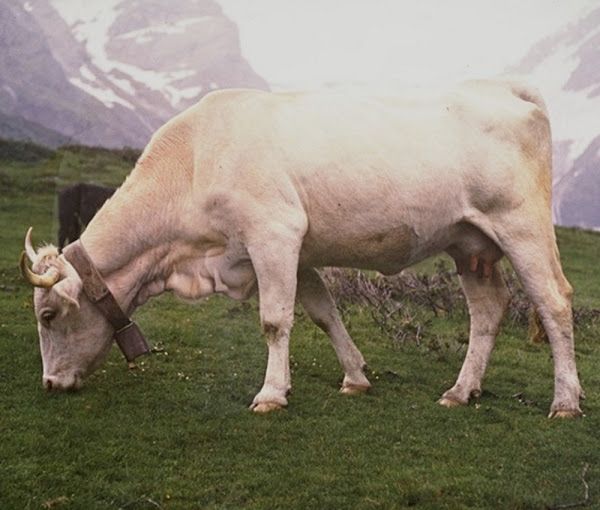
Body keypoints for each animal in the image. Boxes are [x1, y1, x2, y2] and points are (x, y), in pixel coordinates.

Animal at [21, 80, 584, 418]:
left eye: (48, 315)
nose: (48, 383)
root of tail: (501, 87)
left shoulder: (273, 232)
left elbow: (275, 320)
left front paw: (271, 393)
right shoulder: (298, 249)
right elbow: (322, 312)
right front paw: (355, 377)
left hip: (523, 227)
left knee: (554, 303)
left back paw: (565, 401)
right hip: (470, 244)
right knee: (488, 310)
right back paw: (460, 390)